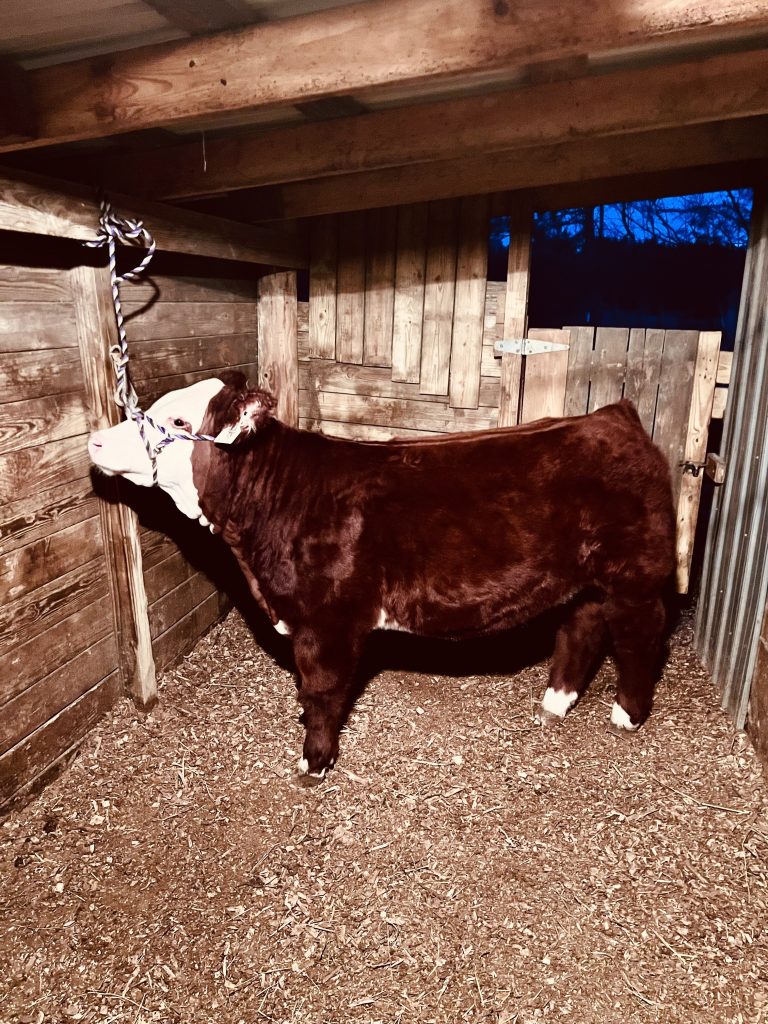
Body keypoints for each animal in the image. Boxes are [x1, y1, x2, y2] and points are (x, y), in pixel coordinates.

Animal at [88, 371, 676, 780]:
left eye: (180, 424)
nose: (95, 441)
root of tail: (611, 416)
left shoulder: (327, 621)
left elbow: (320, 692)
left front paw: (314, 762)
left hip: (635, 573)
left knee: (639, 633)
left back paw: (628, 713)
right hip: (586, 575)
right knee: (583, 624)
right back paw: (556, 701)